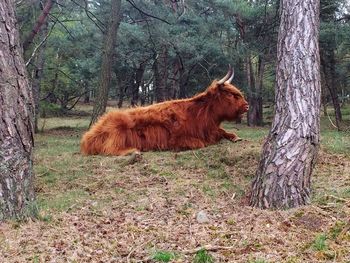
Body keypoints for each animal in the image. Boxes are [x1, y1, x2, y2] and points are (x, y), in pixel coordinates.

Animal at [80, 67, 249, 156]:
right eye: (231, 94)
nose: (247, 106)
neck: (202, 114)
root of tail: (89, 135)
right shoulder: (179, 138)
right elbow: (200, 143)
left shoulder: (213, 129)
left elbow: (225, 132)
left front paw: (236, 137)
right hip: (117, 130)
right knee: (110, 149)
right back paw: (134, 150)